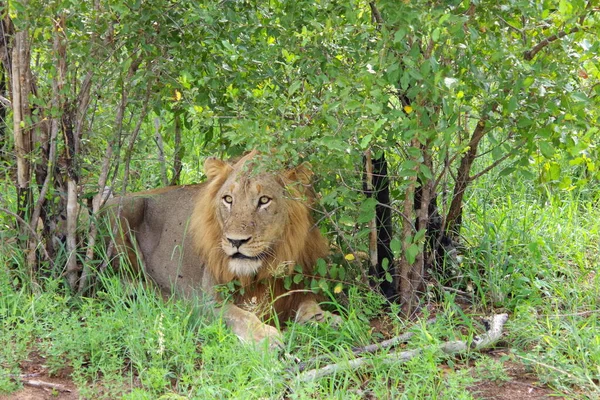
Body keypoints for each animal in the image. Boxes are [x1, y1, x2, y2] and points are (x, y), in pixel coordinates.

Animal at [104, 152, 338, 346]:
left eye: (264, 200)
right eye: (228, 199)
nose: (236, 241)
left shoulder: (301, 284)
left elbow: (309, 303)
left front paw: (324, 318)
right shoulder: (206, 301)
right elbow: (238, 315)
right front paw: (265, 337)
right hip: (123, 213)